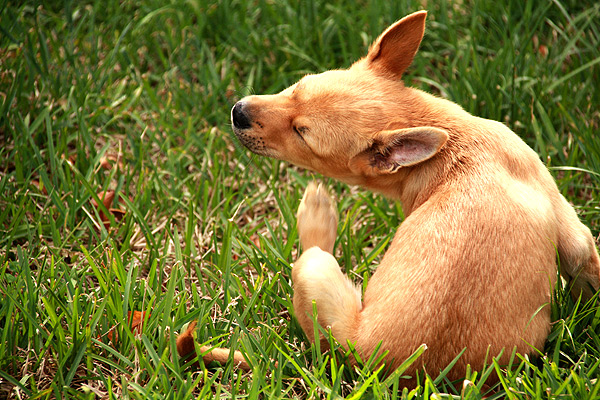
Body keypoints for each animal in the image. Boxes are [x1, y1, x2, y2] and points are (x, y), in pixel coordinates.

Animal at [179, 9, 600, 384]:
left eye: (302, 134)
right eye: (295, 87)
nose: (237, 112)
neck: (452, 143)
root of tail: (369, 364)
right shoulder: (573, 231)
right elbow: (587, 267)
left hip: (315, 272)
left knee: (314, 264)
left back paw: (317, 216)